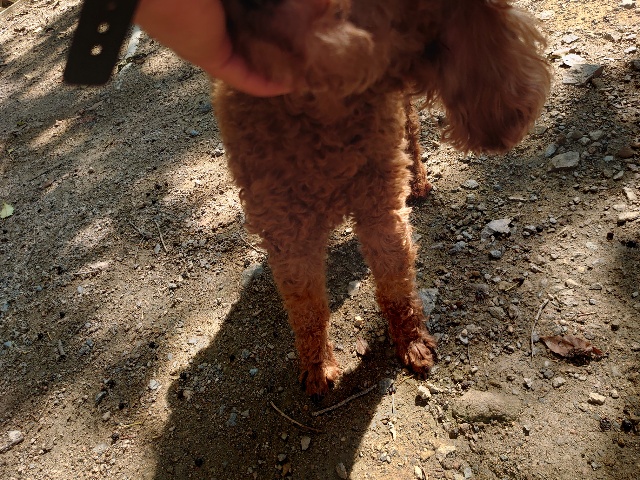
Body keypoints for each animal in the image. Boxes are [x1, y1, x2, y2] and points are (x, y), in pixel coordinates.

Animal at [212, 0, 550, 397]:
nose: (517, 110)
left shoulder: (381, 207)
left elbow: (395, 283)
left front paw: (412, 343)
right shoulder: (287, 231)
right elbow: (307, 308)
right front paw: (318, 367)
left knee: (413, 133)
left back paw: (418, 182)